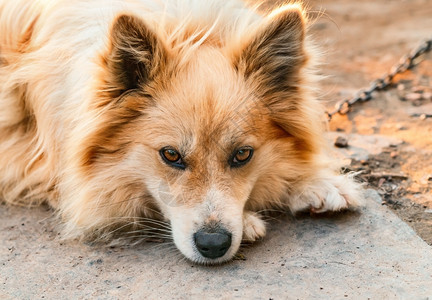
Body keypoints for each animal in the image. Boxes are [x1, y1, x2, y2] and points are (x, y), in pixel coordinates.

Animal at [0, 0, 362, 264]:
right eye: (170, 155)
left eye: (243, 154)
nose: (213, 245)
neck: (188, 29)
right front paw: (250, 219)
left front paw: (316, 182)